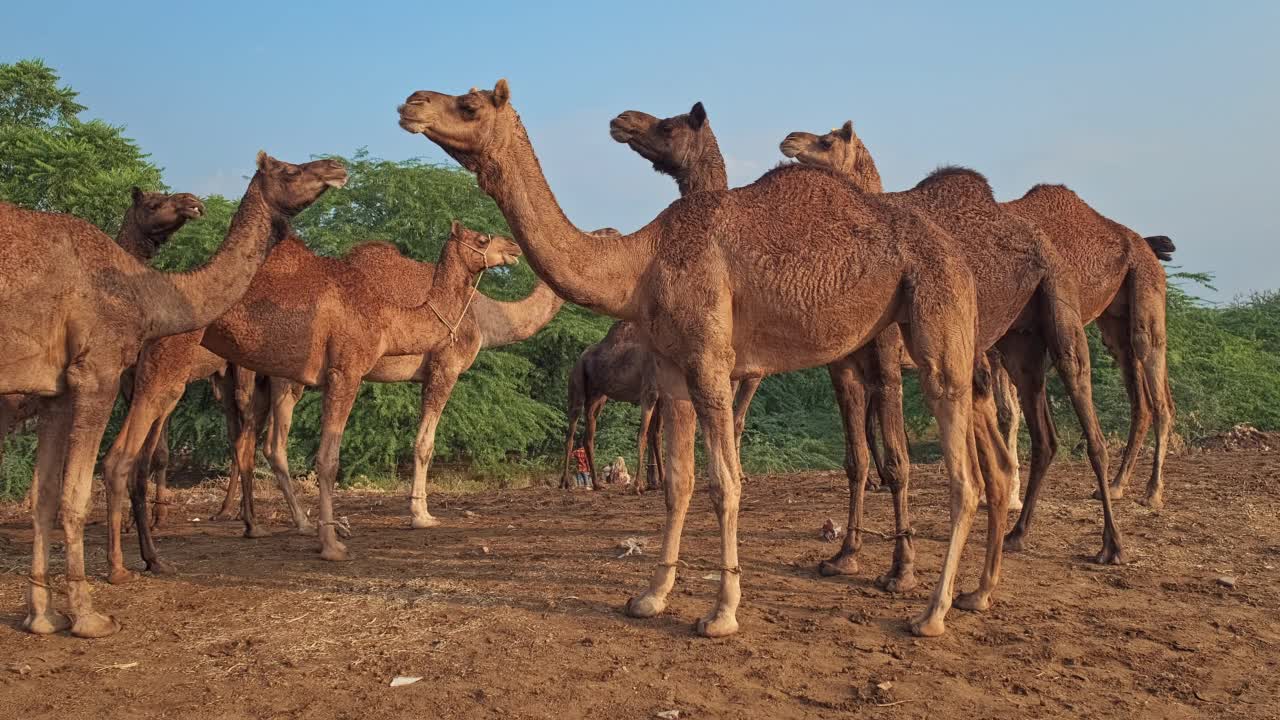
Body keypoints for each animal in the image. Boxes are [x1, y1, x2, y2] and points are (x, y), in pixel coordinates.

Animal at [0, 151, 348, 632]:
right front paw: (89, 617)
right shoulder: (97, 373)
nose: (337, 166)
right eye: (290, 169)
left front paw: (43, 617)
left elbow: (47, 496)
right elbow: (78, 492)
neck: (146, 292)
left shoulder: (57, 390)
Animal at [404, 79, 1003, 638]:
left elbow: (725, 485)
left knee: (963, 475)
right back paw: (973, 594)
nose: (411, 102)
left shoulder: (712, 363)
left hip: (938, 313)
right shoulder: (672, 373)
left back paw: (932, 611)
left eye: (469, 105)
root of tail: (956, 253)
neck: (641, 262)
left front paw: (722, 611)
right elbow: (678, 484)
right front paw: (651, 597)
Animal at [773, 121, 1172, 548]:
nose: (788, 139)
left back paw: (1127, 519)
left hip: (1103, 301)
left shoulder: (908, 357)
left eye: (826, 141)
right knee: (1075, 421)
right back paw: (1036, 523)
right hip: (1053, 334)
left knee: (1130, 392)